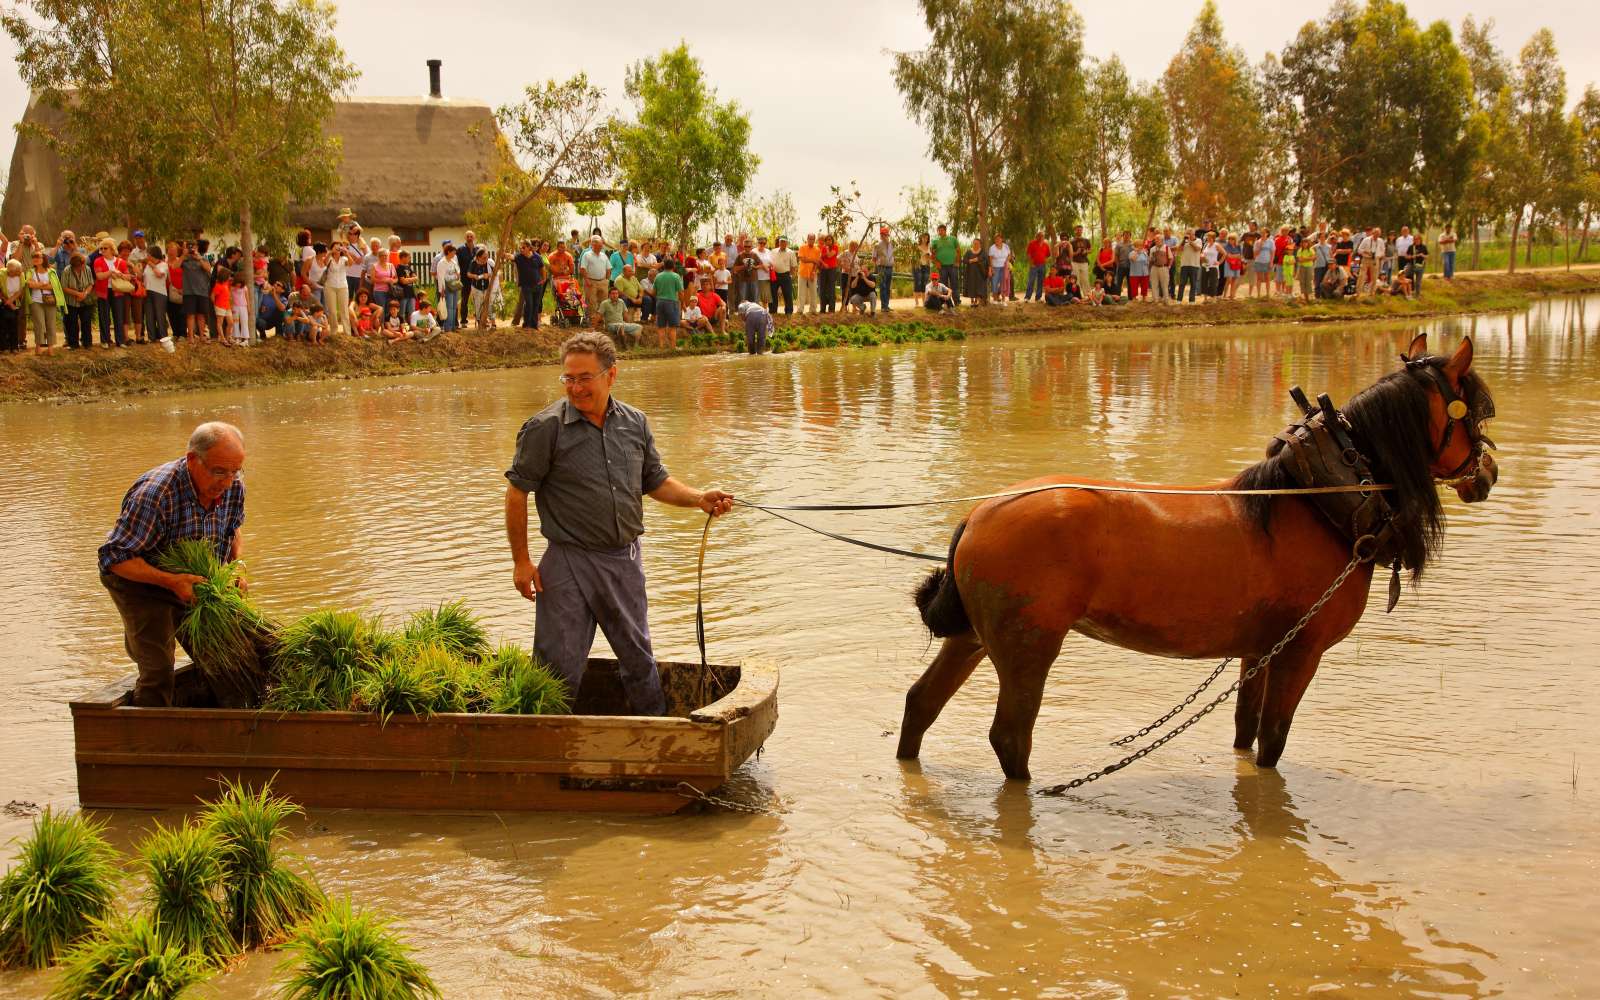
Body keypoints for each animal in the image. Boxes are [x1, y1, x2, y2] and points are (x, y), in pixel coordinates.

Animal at [902, 331, 1497, 777]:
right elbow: (1273, 741)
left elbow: (1245, 730)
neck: (1320, 500)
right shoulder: (1302, 652)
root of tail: (978, 515)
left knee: (921, 703)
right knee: (1009, 737)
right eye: (1477, 415)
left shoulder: (1261, 649)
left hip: (975, 638)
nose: (1488, 474)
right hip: (1029, 645)